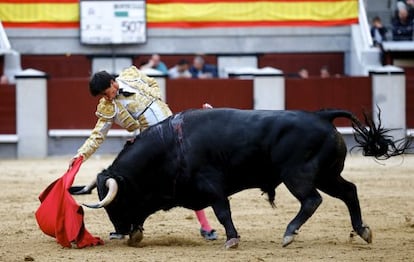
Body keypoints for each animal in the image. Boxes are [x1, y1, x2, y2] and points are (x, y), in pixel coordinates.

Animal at [82, 108, 410, 248]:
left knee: (312, 200)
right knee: (350, 191)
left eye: (115, 203)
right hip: (328, 175)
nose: (118, 232)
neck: (170, 147)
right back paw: (363, 230)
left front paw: (232, 239)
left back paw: (288, 233)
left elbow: (223, 212)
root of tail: (321, 115)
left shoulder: (212, 186)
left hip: (299, 175)